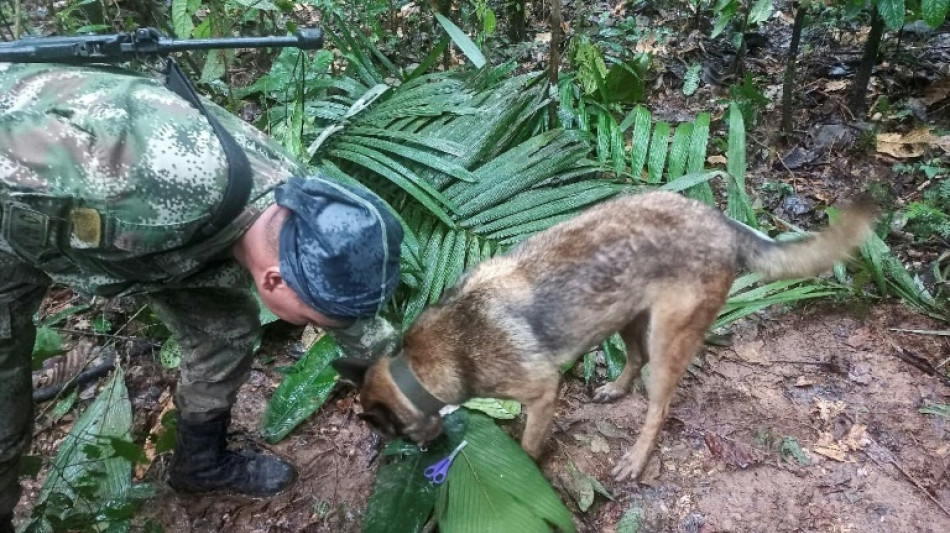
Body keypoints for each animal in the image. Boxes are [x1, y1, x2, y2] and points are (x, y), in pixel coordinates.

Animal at [334, 190, 876, 478]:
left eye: (390, 432)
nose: (425, 456)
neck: (422, 365)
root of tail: (721, 221)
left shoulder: (542, 392)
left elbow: (528, 445)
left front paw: (525, 468)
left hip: (667, 338)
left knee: (658, 405)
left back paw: (635, 458)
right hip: (627, 318)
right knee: (634, 360)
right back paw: (615, 389)